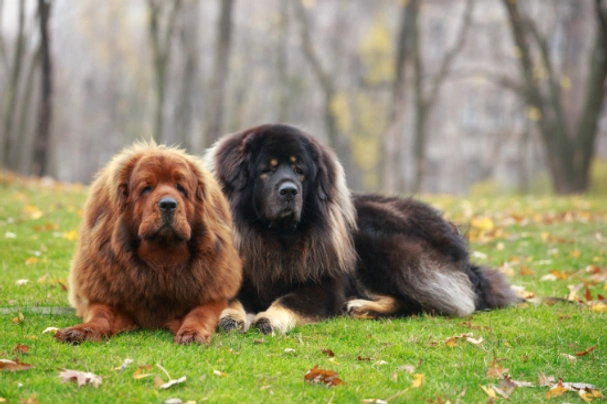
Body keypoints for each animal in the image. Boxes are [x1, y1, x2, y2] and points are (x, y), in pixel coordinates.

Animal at [54, 142, 240, 344]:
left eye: (180, 187)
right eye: (147, 188)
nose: (168, 204)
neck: (162, 262)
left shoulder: (212, 297)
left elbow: (200, 313)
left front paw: (192, 333)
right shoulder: (105, 298)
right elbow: (101, 315)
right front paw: (82, 330)